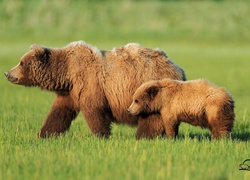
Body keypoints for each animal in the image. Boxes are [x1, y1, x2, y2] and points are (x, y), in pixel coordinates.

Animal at [3, 41, 186, 139]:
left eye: (21, 62)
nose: (7, 73)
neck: (67, 73)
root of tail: (179, 69)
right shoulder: (69, 93)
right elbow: (59, 113)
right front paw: (43, 134)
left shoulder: (90, 83)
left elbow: (94, 111)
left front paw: (102, 135)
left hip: (150, 89)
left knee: (151, 117)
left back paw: (142, 136)